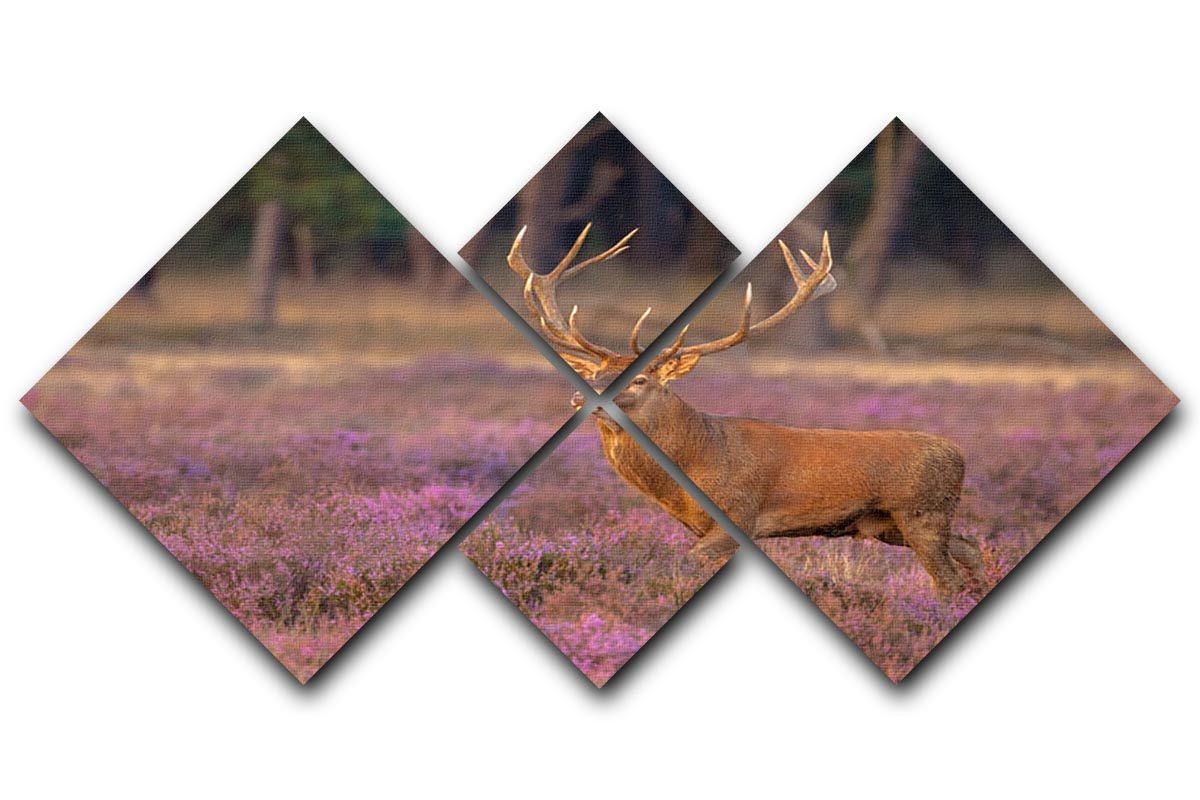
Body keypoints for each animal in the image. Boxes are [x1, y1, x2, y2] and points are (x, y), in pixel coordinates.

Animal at [507, 224, 986, 598]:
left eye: (640, 379)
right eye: (596, 372)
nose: (579, 398)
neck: (693, 466)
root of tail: (959, 453)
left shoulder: (739, 514)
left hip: (921, 512)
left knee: (948, 579)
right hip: (891, 525)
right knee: (971, 548)